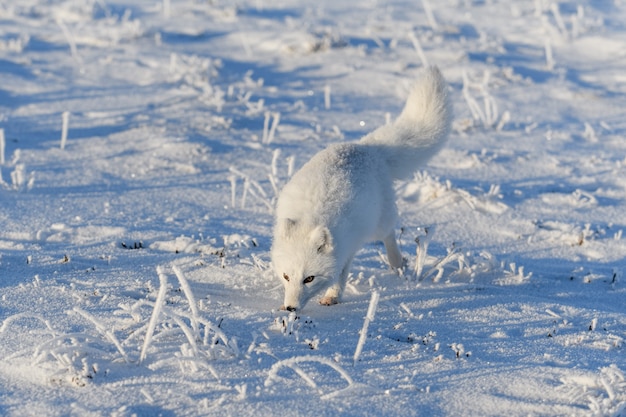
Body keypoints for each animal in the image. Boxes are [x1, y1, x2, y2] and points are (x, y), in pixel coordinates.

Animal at [270, 66, 450, 310]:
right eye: (286, 276)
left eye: (309, 278)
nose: (291, 308)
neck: (311, 219)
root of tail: (367, 147)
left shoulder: (347, 248)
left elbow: (340, 276)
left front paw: (332, 297)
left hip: (378, 223)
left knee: (389, 233)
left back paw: (397, 263)